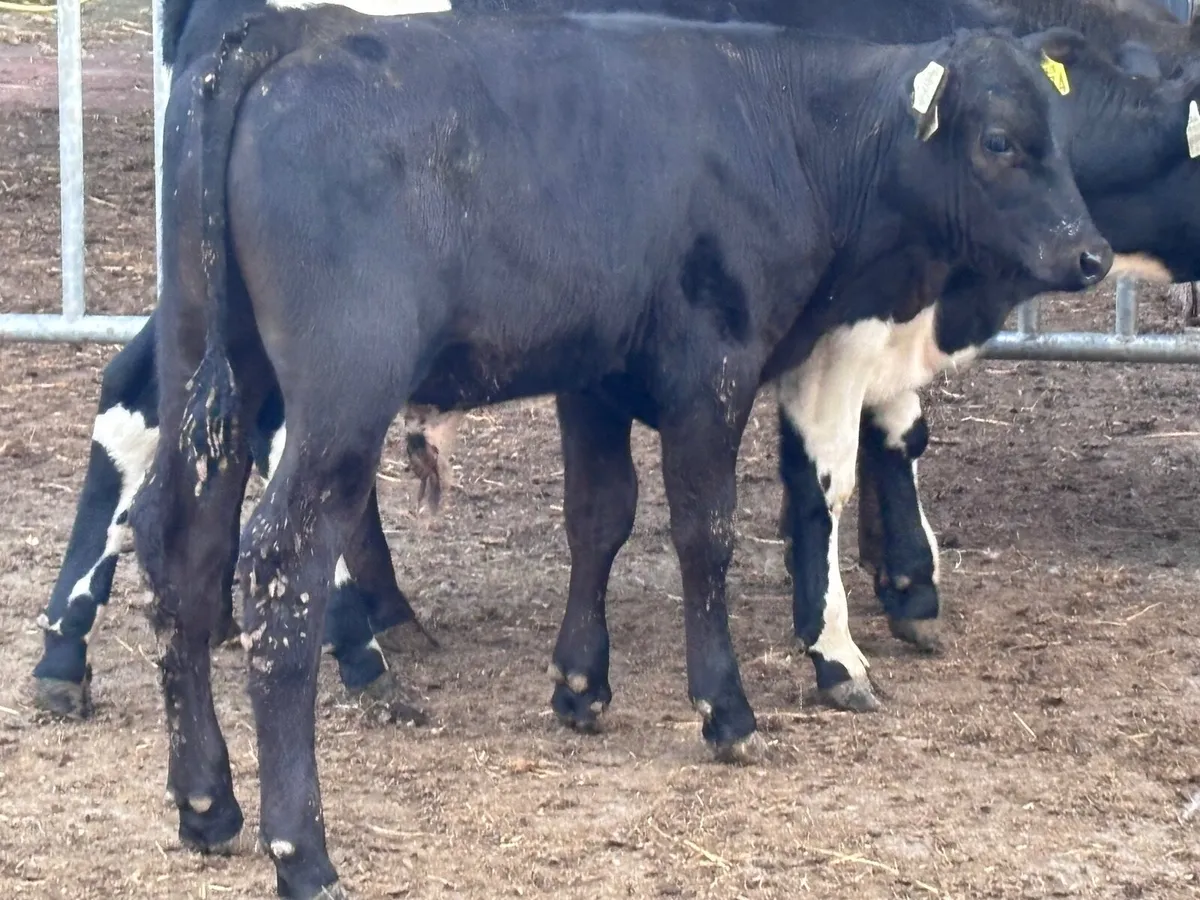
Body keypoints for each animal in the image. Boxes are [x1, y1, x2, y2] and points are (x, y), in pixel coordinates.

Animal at [129, 6, 1113, 892]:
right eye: (999, 141)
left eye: (1061, 136)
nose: (1092, 254)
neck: (784, 124)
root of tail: (283, 33)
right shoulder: (713, 368)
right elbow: (703, 534)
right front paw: (727, 710)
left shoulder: (593, 377)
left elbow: (598, 518)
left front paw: (580, 685)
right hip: (341, 396)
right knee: (277, 570)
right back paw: (301, 850)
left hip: (207, 376)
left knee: (181, 553)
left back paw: (206, 803)